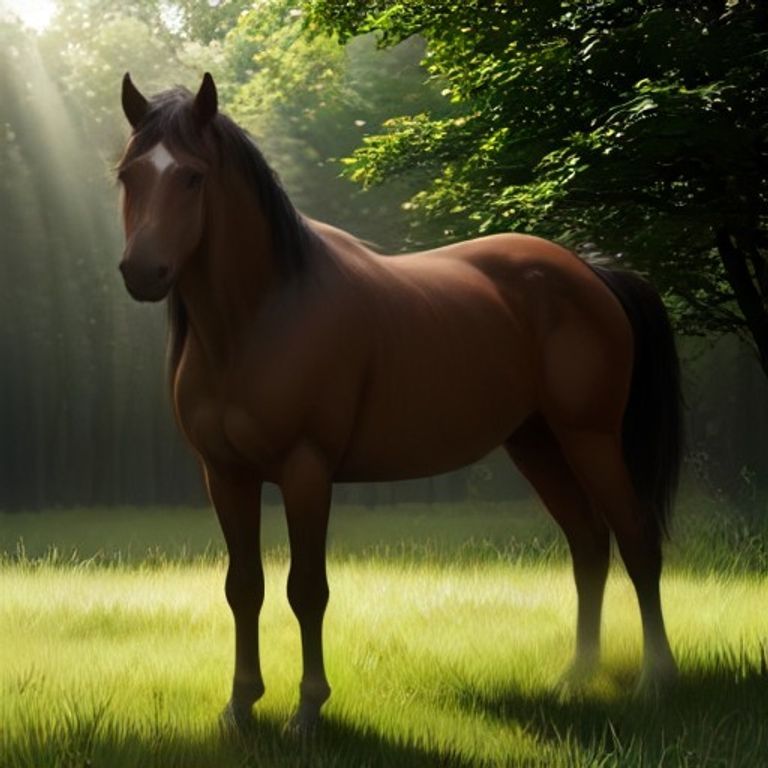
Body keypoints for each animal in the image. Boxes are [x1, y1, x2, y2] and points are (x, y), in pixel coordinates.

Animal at [117, 72, 682, 731]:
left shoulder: (306, 470)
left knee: (637, 539)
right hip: (537, 443)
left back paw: (656, 679)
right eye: (128, 174)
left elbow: (306, 589)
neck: (258, 318)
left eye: (192, 176)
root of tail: (590, 272)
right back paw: (576, 675)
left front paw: (308, 708)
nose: (142, 271)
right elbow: (244, 587)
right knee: (588, 545)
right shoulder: (226, 475)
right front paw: (240, 704)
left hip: (589, 437)